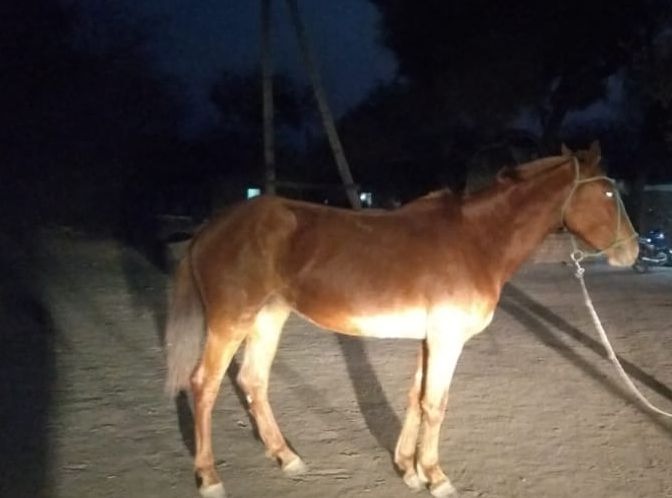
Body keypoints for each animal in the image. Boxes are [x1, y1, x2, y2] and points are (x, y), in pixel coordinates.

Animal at [164, 141, 638, 498]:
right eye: (607, 193)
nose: (632, 251)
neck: (476, 241)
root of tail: (211, 228)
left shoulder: (430, 338)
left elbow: (415, 398)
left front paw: (408, 470)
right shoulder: (447, 339)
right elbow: (435, 404)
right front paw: (436, 476)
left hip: (268, 317)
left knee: (253, 381)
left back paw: (287, 457)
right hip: (231, 321)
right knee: (204, 386)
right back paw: (209, 477)